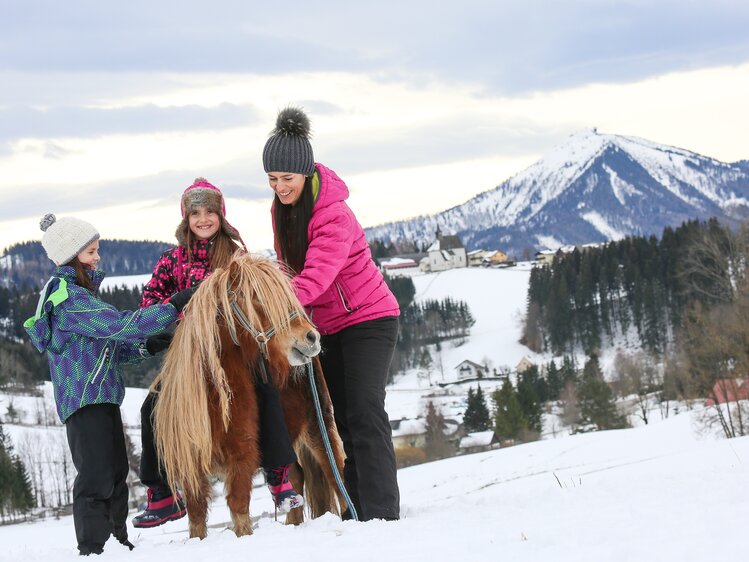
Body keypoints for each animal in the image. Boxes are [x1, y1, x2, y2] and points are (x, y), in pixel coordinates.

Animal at [153, 252, 350, 536]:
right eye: (256, 297)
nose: (311, 337)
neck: (214, 398)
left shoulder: (242, 457)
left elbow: (239, 509)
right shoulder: (192, 469)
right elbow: (197, 516)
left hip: (317, 426)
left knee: (336, 473)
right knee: (296, 476)